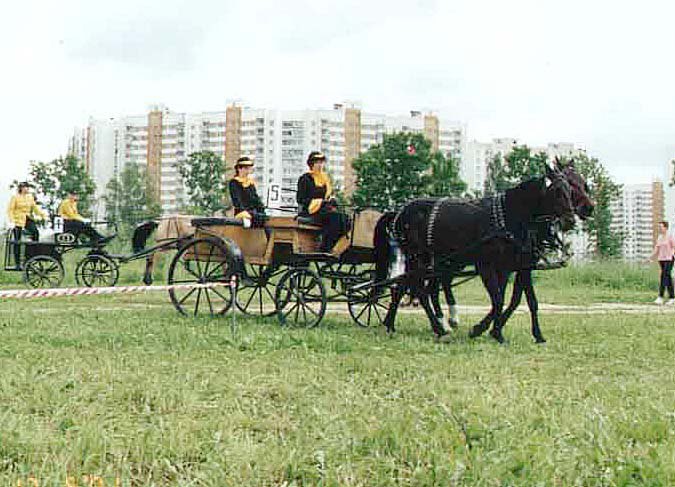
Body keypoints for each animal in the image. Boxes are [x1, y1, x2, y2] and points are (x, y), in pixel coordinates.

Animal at [374, 166, 576, 346]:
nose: (570, 220)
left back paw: (393, 324)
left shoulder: (513, 267)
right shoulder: (487, 266)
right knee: (419, 289)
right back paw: (438, 328)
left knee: (408, 286)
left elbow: (517, 300)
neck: (506, 218)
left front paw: (511, 332)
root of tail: (399, 212)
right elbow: (500, 300)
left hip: (433, 260)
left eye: (570, 190)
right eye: (557, 191)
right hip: (419, 257)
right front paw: (486, 331)